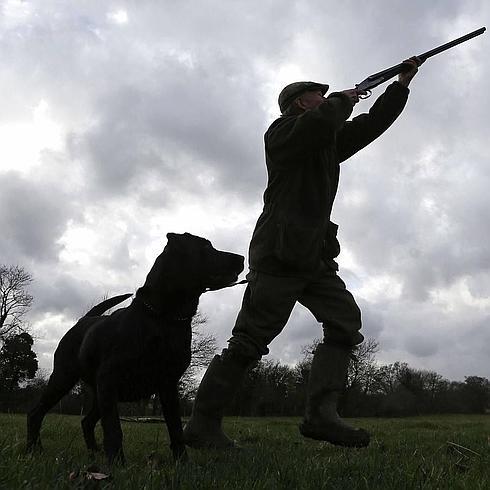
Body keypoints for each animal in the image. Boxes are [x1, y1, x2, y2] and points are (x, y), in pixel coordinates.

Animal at [25, 234, 244, 464]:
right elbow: (113, 428)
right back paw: (34, 449)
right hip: (65, 378)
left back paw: (93, 453)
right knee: (36, 412)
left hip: (100, 393)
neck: (164, 319)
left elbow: (175, 428)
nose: (241, 258)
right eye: (206, 246)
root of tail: (83, 320)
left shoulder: (168, 384)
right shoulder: (109, 379)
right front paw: (117, 464)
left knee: (86, 421)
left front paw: (183, 463)